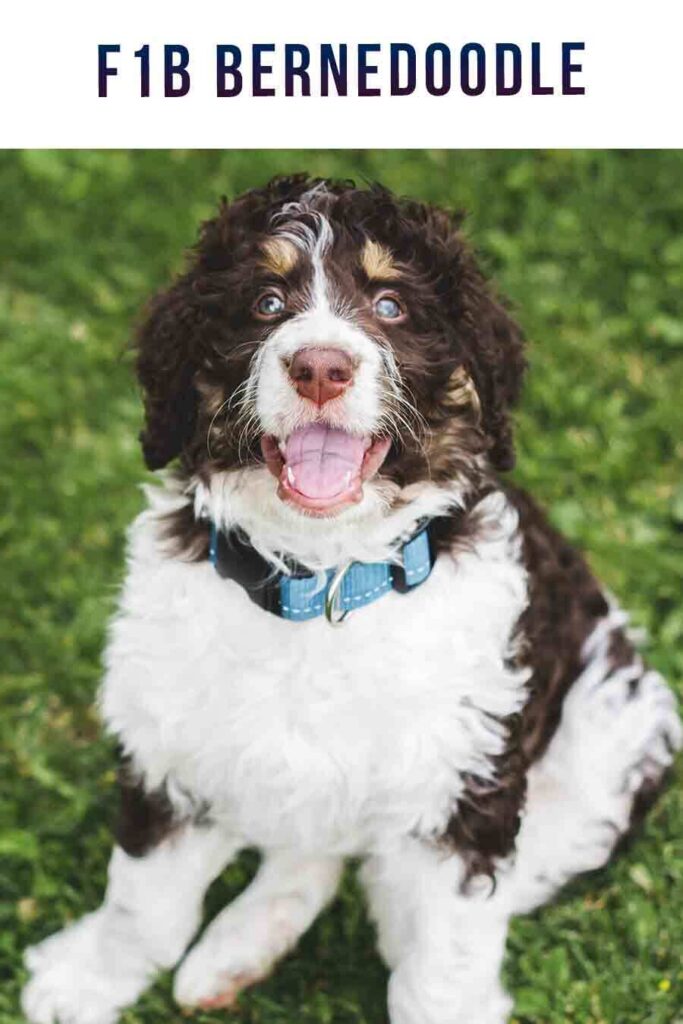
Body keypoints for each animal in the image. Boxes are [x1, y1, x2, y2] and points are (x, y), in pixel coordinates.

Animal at [21, 176, 683, 1024]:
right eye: (266, 302)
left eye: (391, 305)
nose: (320, 367)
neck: (323, 579)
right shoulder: (169, 739)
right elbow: (144, 897)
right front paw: (89, 979)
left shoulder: (463, 785)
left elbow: (442, 957)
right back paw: (238, 948)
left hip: (608, 747)